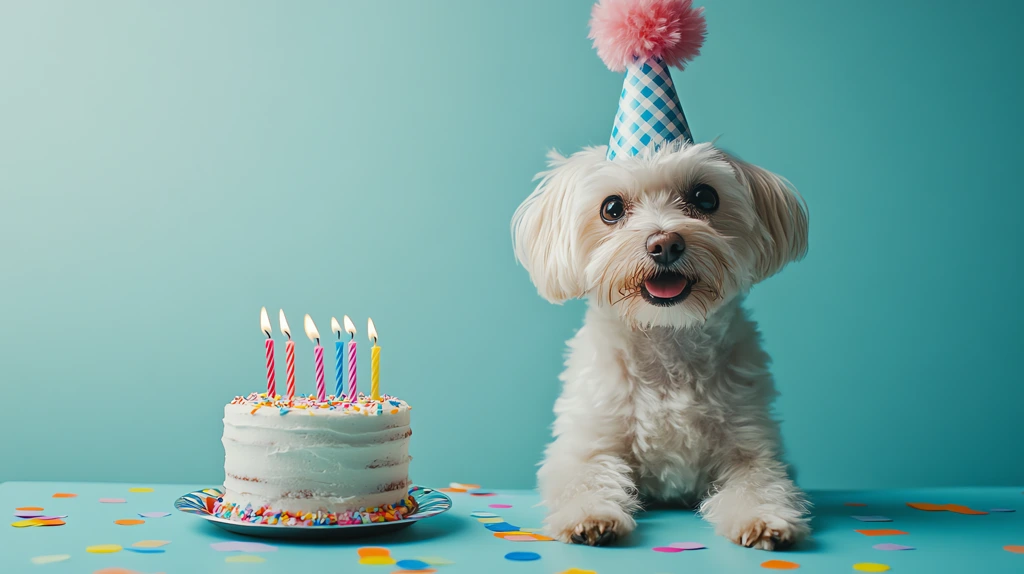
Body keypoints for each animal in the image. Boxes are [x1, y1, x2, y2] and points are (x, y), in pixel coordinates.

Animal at [516, 141, 811, 548]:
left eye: (705, 197)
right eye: (612, 208)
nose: (665, 243)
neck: (667, 339)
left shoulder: (751, 445)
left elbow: (761, 483)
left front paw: (764, 518)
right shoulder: (586, 443)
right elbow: (584, 477)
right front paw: (590, 516)